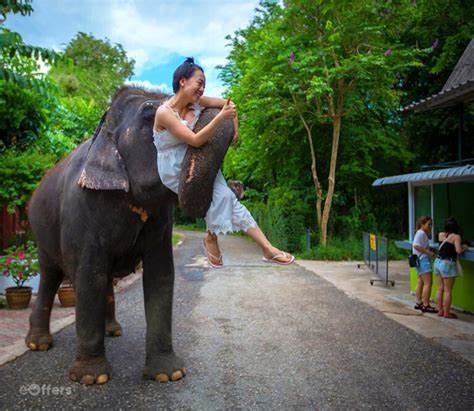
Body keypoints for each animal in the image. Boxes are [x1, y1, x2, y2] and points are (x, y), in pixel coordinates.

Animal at [25, 87, 234, 386]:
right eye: (151, 115)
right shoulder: (81, 210)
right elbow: (90, 275)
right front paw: (93, 379)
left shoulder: (161, 220)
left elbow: (161, 274)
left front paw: (168, 374)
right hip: (41, 232)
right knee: (51, 275)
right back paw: (38, 344)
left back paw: (113, 331)